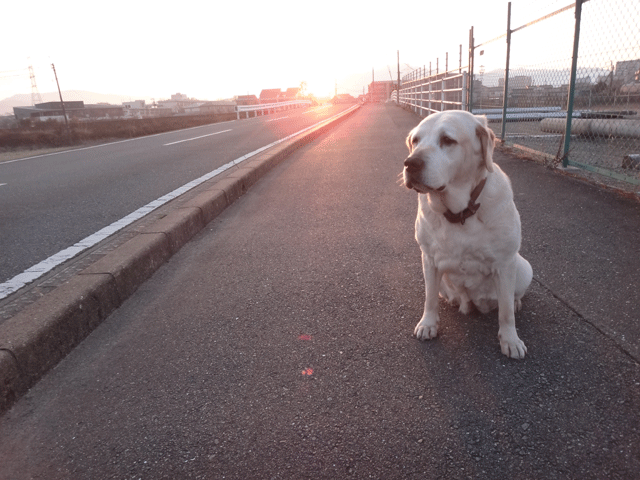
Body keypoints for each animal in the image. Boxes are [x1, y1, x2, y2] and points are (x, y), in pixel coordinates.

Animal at [402, 110, 532, 358]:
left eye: (447, 140)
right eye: (415, 141)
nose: (410, 163)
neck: (460, 212)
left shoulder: (505, 263)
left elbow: (506, 312)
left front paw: (510, 340)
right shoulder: (429, 260)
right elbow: (429, 298)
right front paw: (428, 324)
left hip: (523, 267)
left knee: (510, 298)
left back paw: (516, 302)